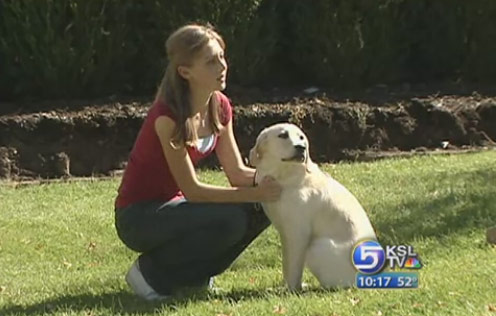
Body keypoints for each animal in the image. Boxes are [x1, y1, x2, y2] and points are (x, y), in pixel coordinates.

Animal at [250, 122, 378, 290]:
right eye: (283, 135)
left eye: (301, 137)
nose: (301, 147)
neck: (286, 176)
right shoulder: (286, 234)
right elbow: (286, 265)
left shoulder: (298, 234)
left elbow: (293, 268)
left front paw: (290, 289)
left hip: (316, 246)